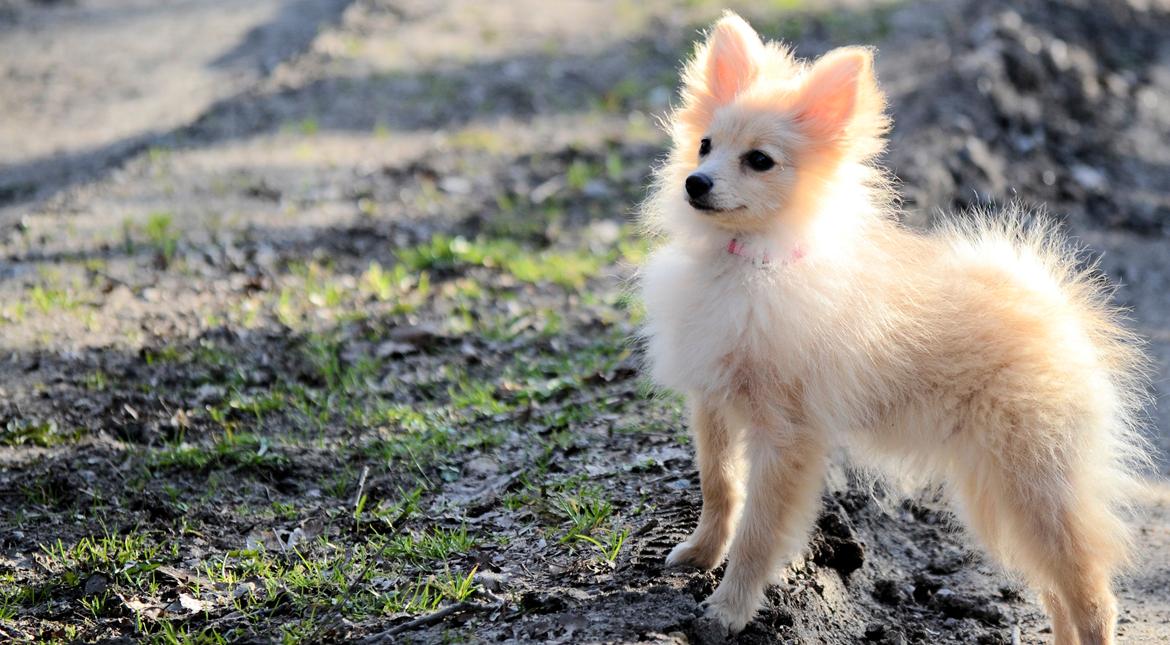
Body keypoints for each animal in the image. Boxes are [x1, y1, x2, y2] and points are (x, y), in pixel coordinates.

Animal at [636, 11, 1146, 645]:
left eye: (759, 160)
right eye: (705, 145)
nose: (696, 182)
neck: (748, 262)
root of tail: (1052, 308)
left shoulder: (786, 435)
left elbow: (759, 531)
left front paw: (728, 611)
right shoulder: (714, 403)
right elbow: (720, 488)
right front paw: (701, 555)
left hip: (1033, 483)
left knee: (1092, 594)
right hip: (997, 493)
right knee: (1056, 591)